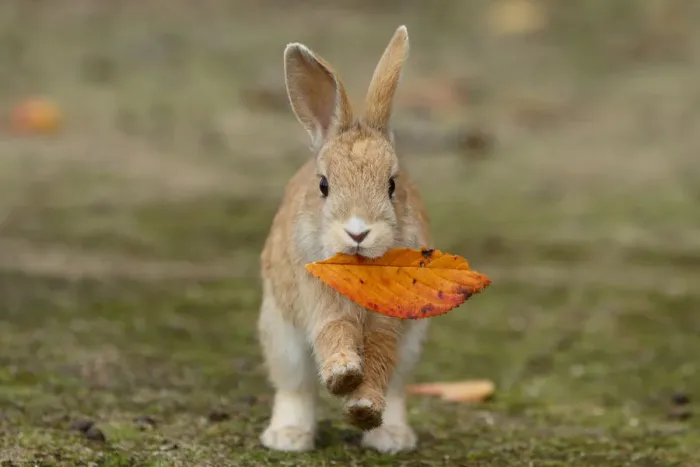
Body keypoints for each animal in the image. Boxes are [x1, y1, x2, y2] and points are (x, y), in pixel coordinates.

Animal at [257, 25, 431, 454]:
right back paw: (288, 438)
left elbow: (381, 359)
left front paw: (364, 408)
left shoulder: (392, 322)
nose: (358, 231)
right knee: (296, 389)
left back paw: (391, 438)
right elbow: (333, 330)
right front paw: (343, 375)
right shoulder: (317, 298)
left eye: (392, 185)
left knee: (396, 388)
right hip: (281, 337)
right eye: (324, 185)